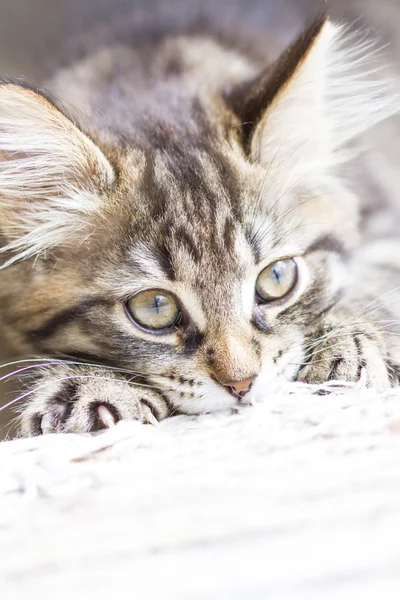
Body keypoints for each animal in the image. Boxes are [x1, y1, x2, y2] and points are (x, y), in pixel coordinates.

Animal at [0, 12, 398, 436]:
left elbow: (374, 278)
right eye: (154, 307)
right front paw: (91, 384)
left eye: (276, 278)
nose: (242, 383)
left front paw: (347, 342)